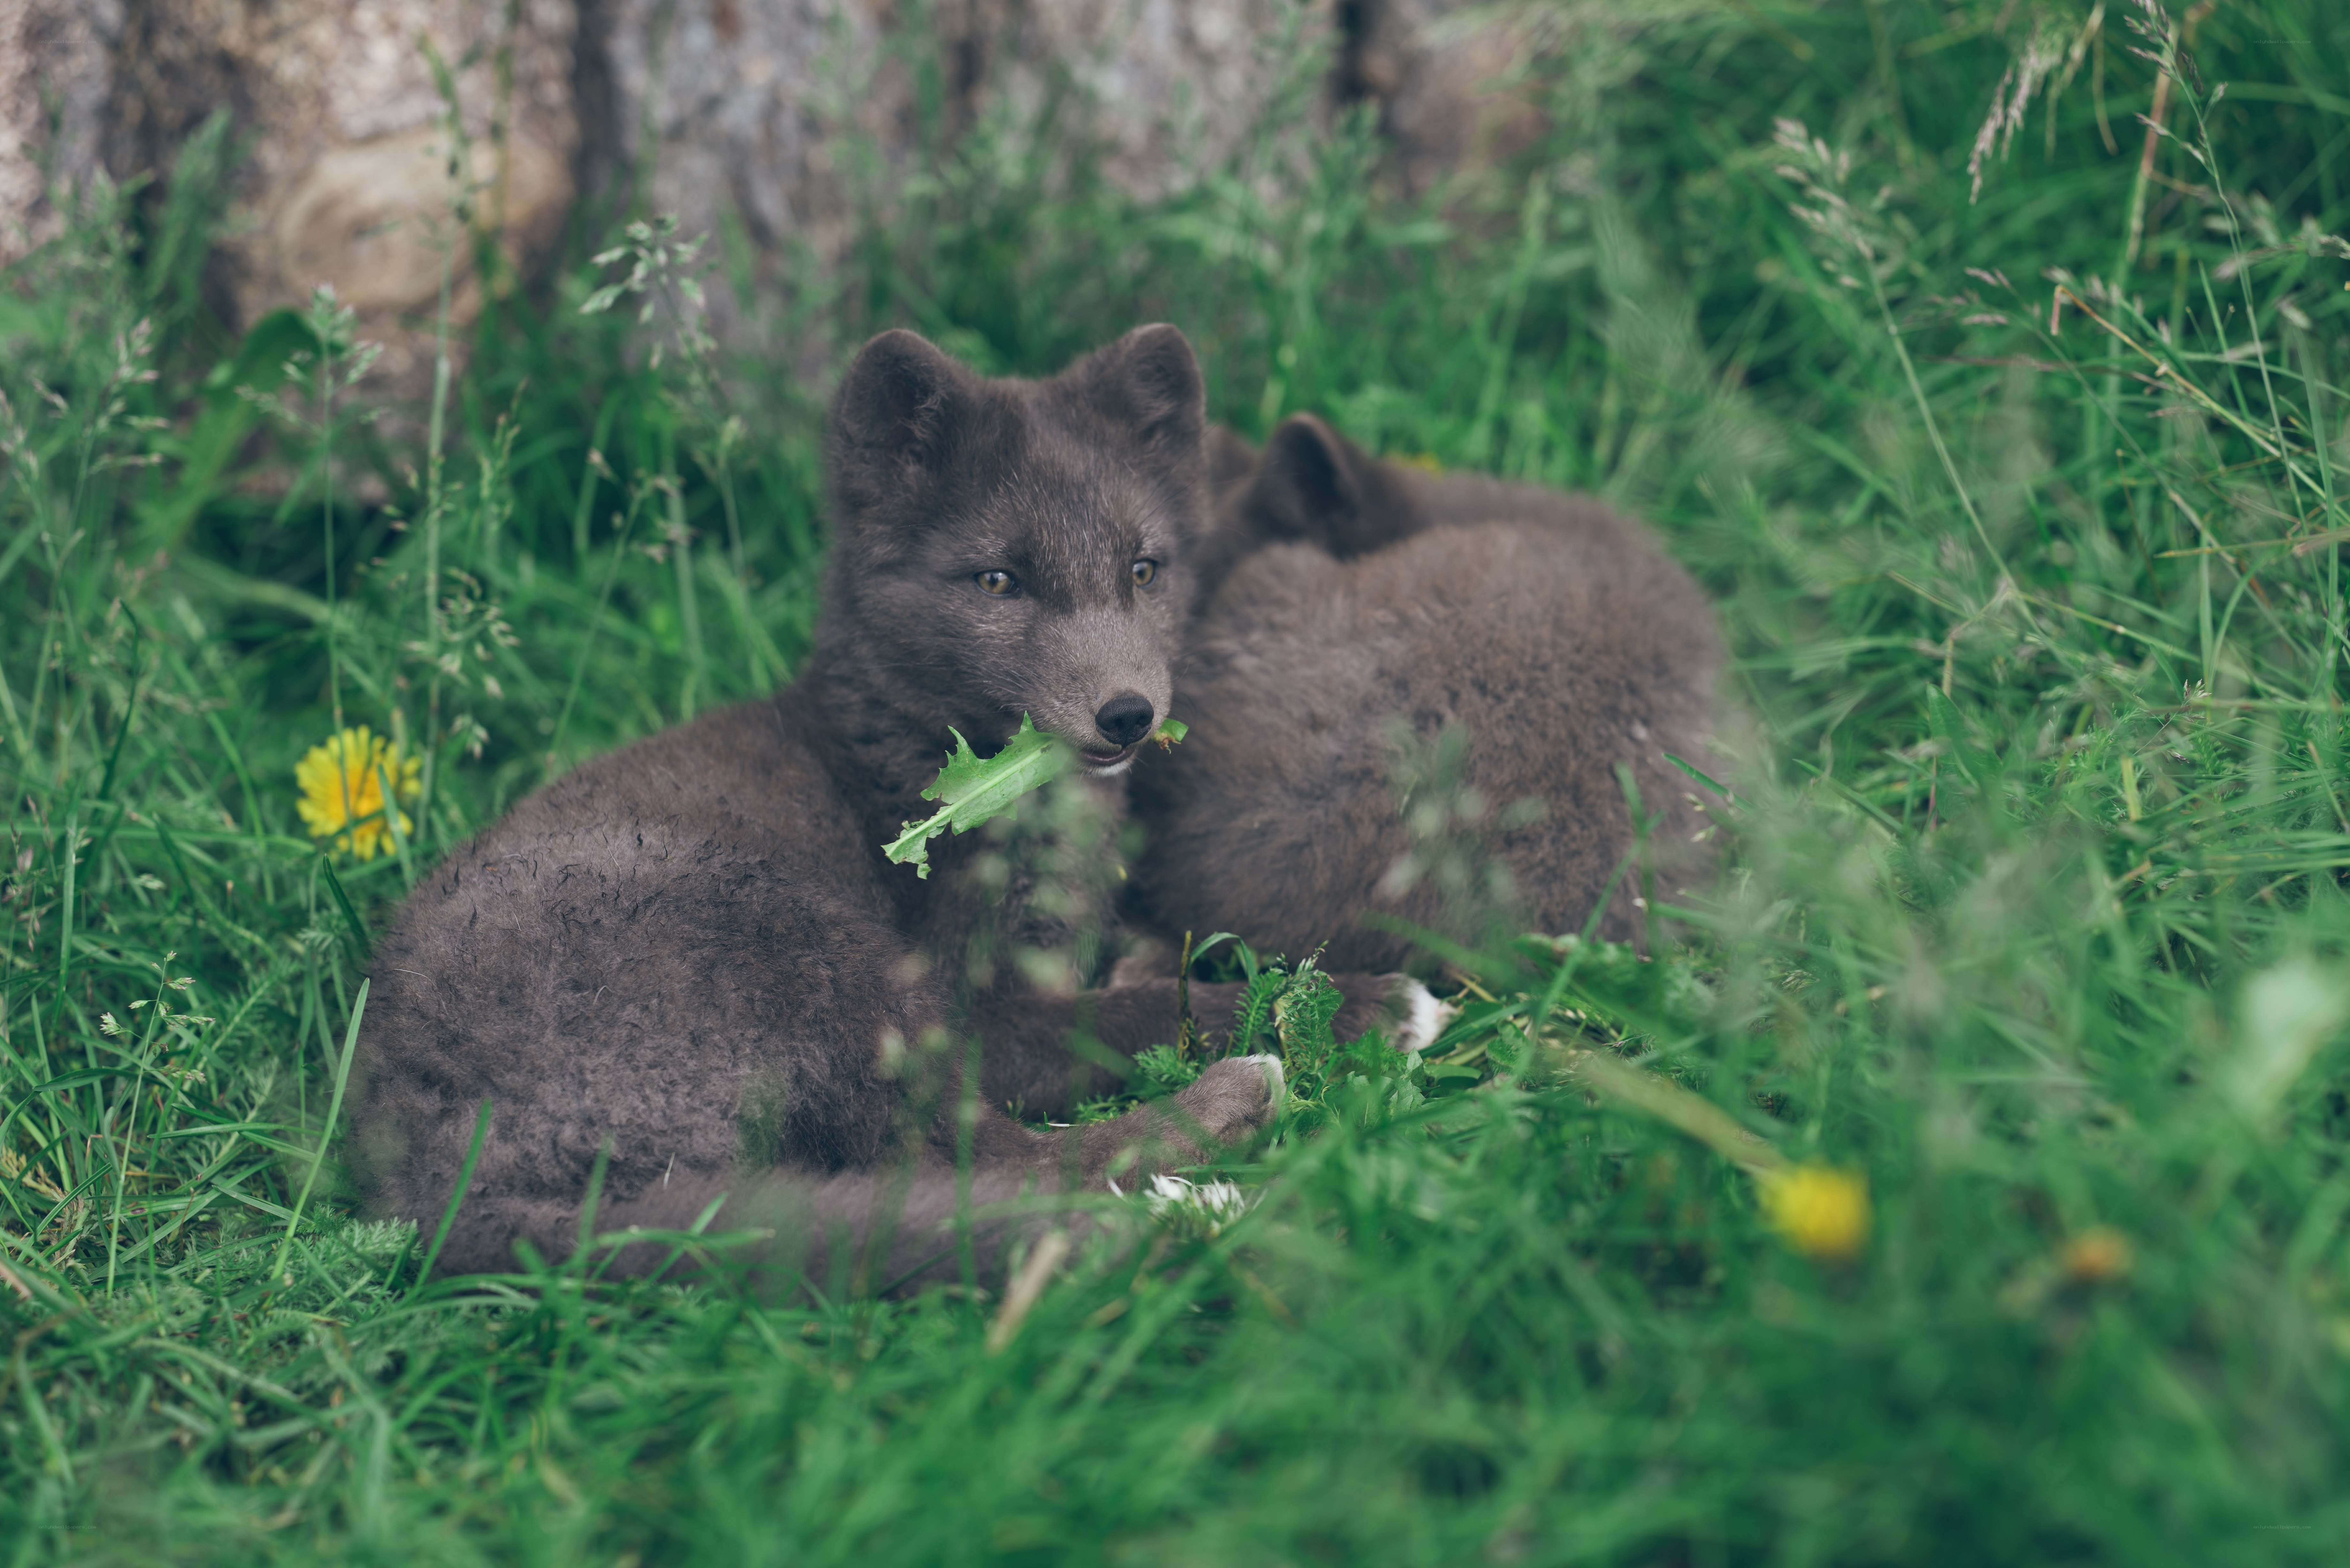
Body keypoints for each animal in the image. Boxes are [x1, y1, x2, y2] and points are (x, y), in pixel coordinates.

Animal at [350, 330, 1427, 1290]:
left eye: (1143, 570)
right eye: (998, 579)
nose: (1128, 712)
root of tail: (426, 1180)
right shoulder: (977, 1005)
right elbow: (1128, 1016)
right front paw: (1357, 1002)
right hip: (820, 963)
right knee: (981, 1162)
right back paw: (1214, 1150)